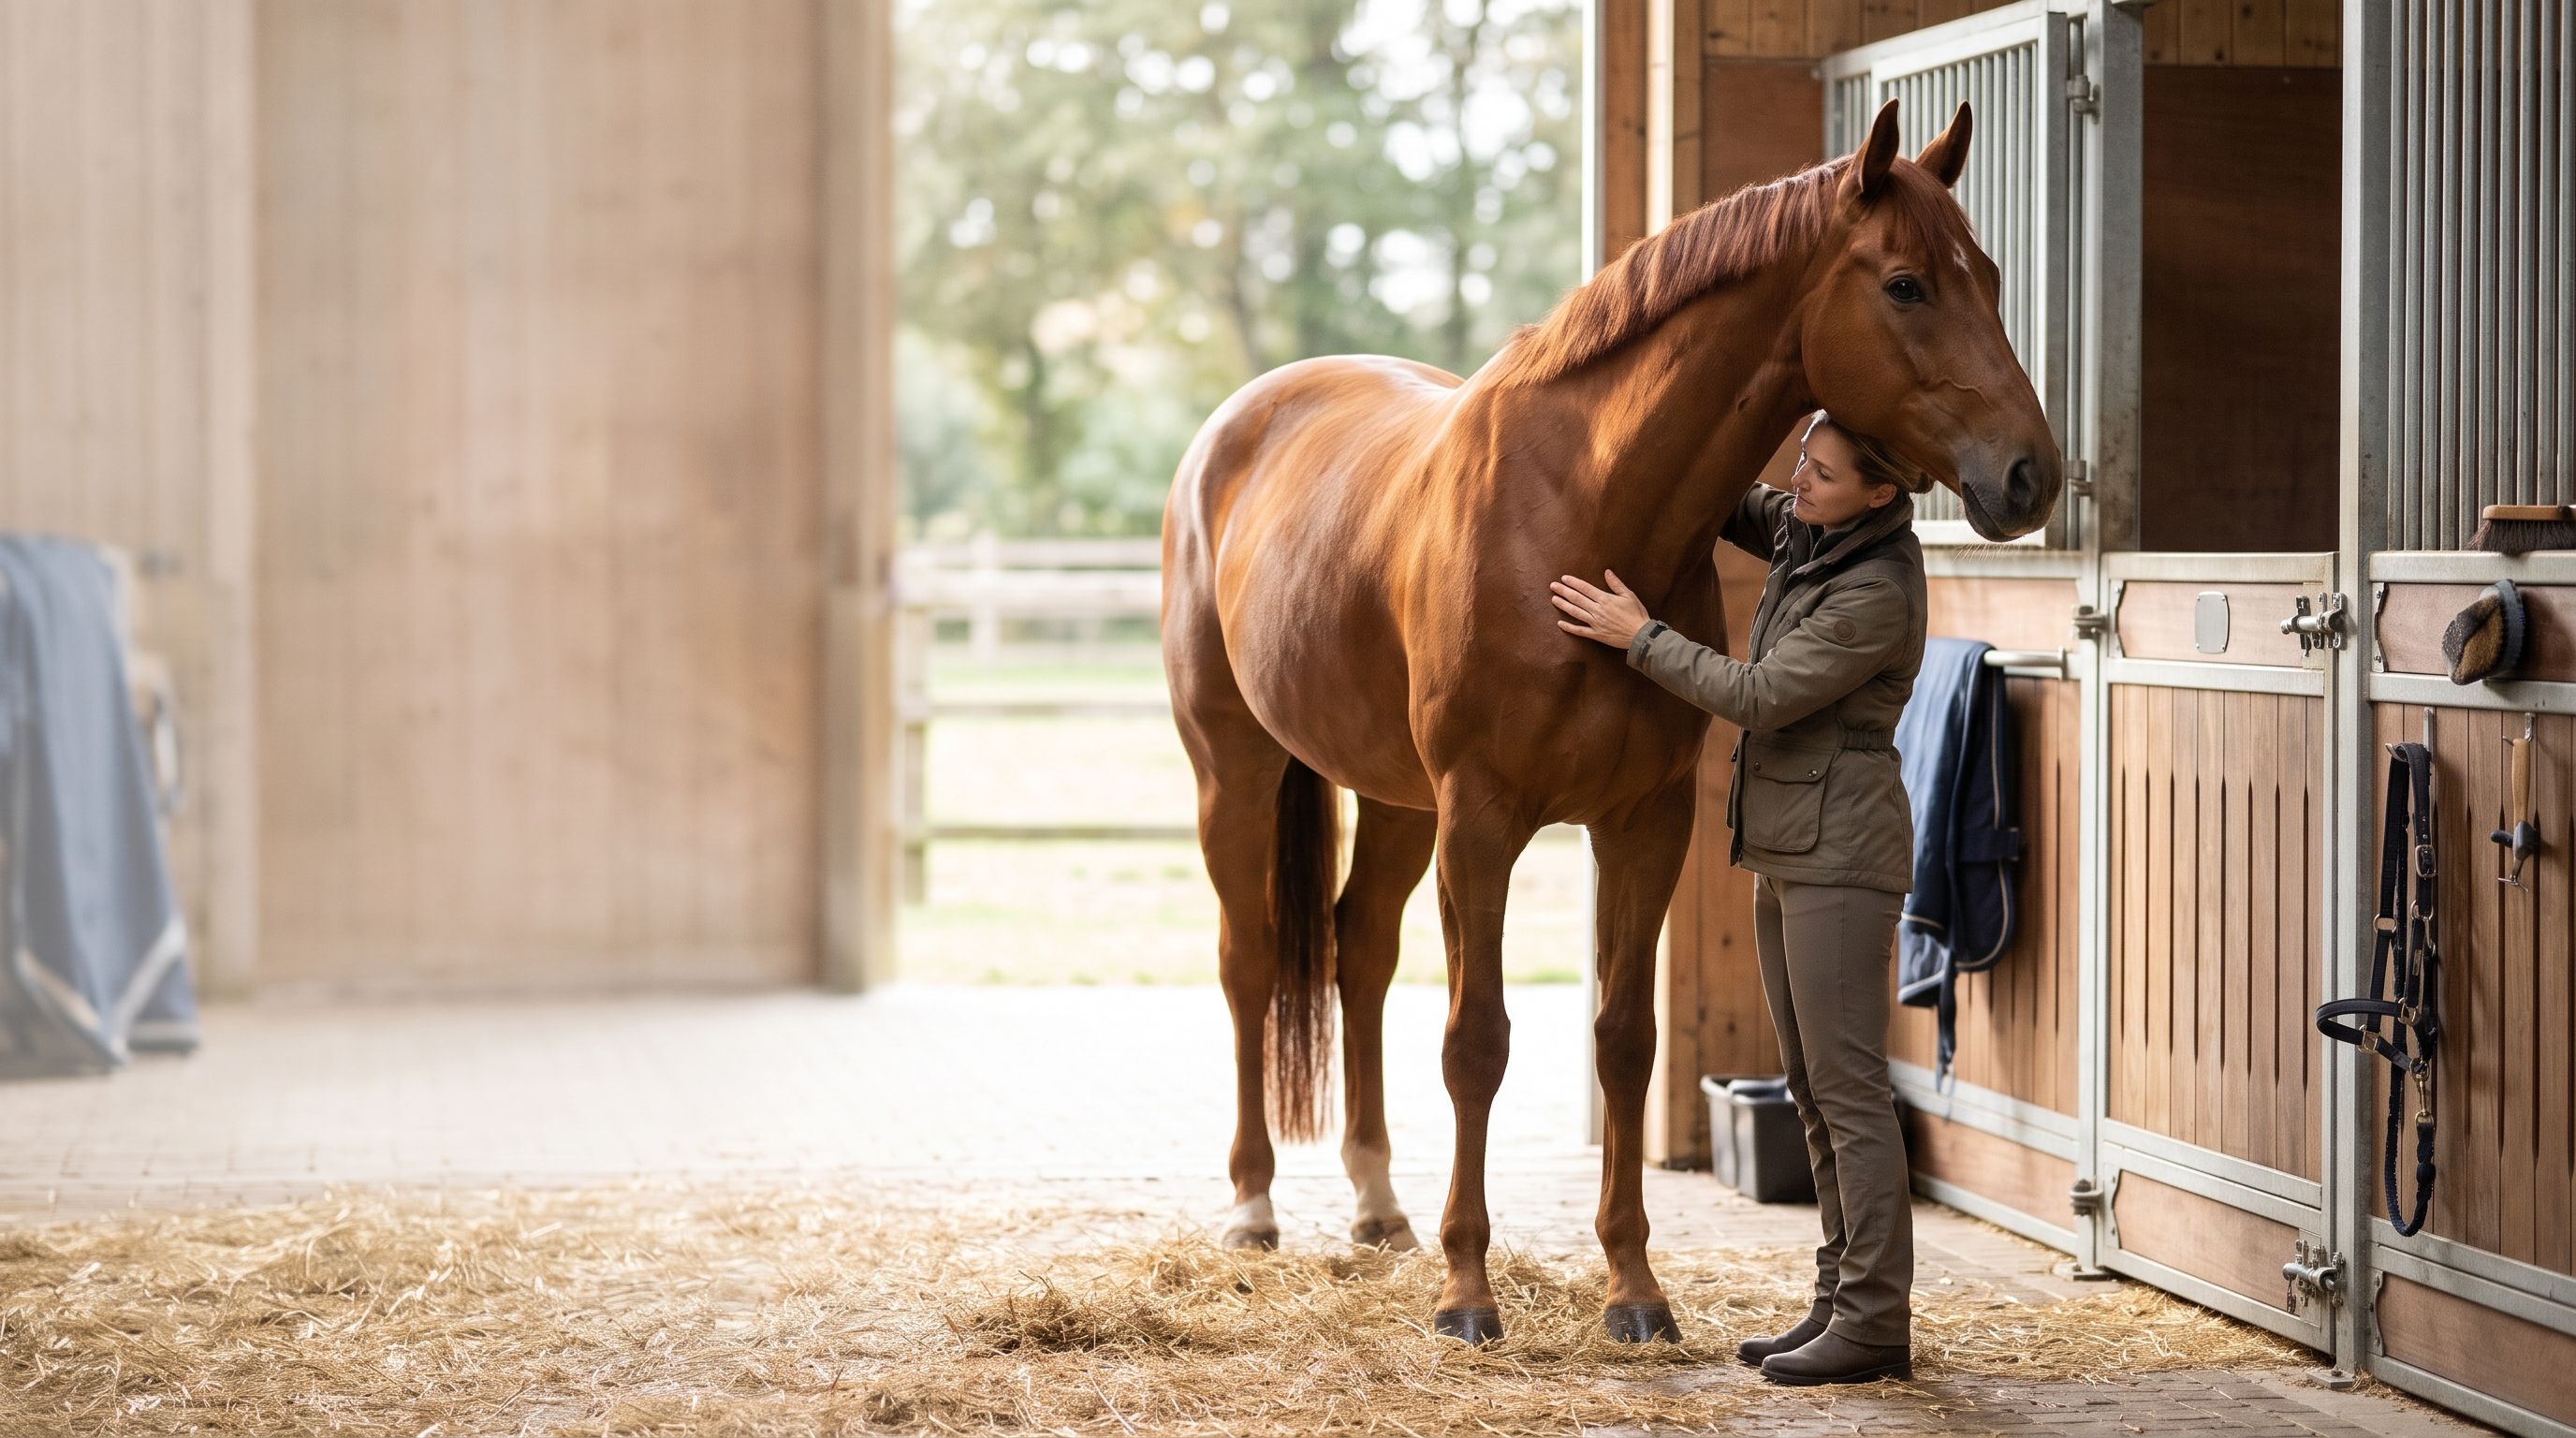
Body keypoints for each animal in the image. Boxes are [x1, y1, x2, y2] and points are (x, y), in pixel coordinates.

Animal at [1158, 97, 2061, 1345]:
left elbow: (1624, 1040)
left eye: (1987, 275)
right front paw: (1468, 1293)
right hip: (1235, 772)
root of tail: (1237, 424)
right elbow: (1477, 1041)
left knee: (1358, 954)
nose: (2032, 476)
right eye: (1907, 285)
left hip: (1395, 804)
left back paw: (1378, 1206)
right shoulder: (1481, 823)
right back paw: (1252, 1206)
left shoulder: (1643, 821)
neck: (1577, 513)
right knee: (1249, 960)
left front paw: (1633, 1289)